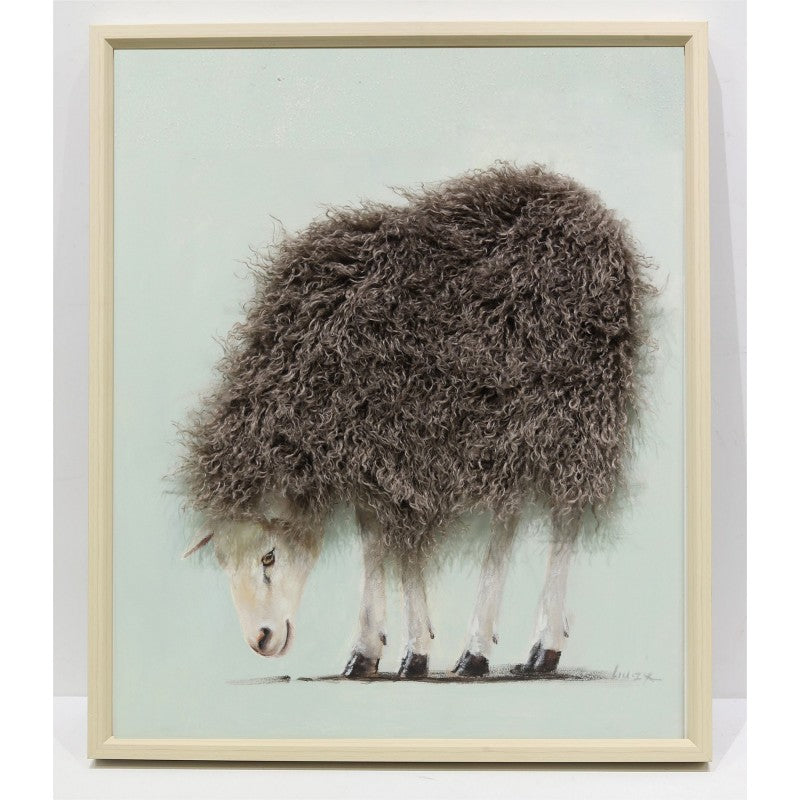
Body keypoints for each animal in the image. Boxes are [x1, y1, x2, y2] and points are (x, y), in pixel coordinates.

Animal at [178, 163, 654, 678]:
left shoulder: (406, 449)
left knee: (563, 515)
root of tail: (584, 204)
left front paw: (415, 652)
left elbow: (406, 555)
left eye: (269, 555)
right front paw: (366, 651)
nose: (260, 640)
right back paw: (488, 648)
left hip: (573, 409)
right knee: (509, 516)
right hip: (512, 425)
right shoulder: (364, 454)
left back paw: (529, 649)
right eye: (222, 560)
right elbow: (372, 542)